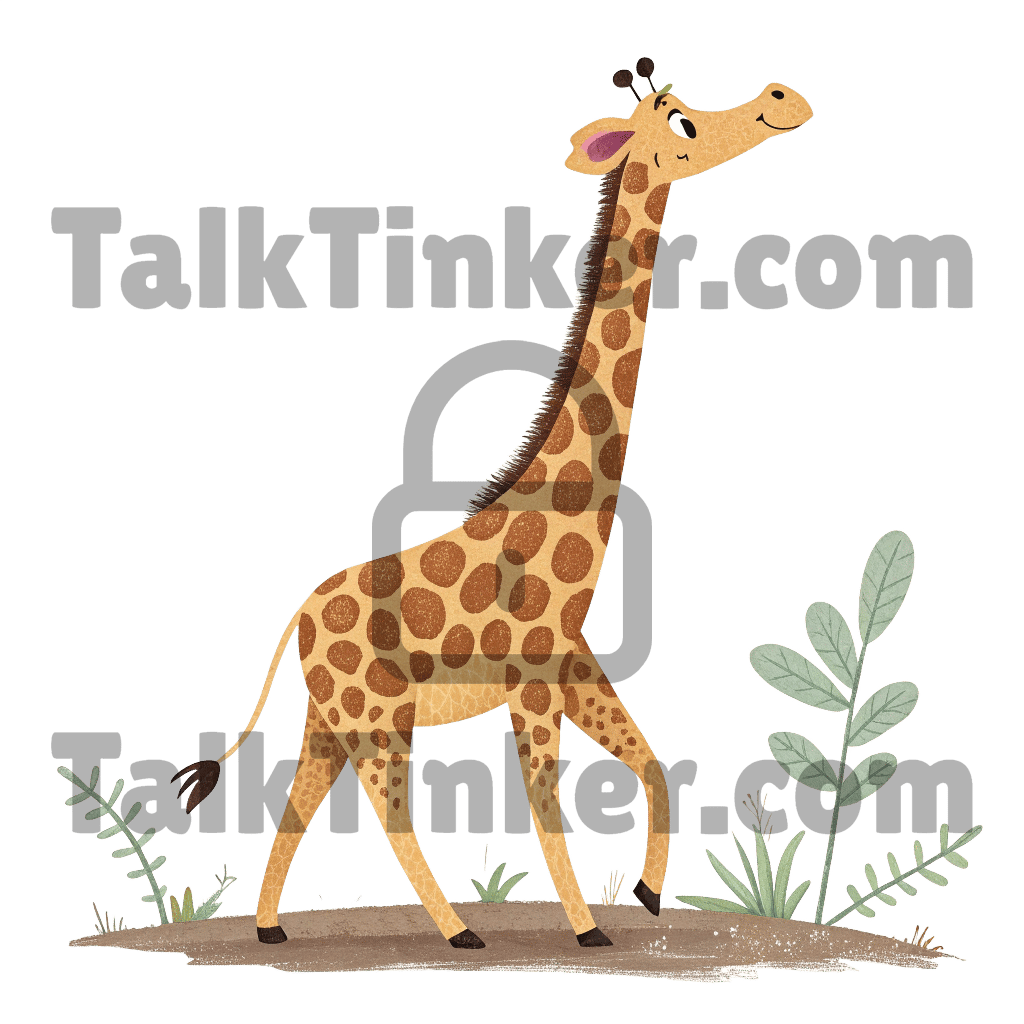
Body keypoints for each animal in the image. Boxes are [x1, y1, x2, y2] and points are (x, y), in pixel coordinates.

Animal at [175, 59, 813, 949]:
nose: (783, 100)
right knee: (387, 811)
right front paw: (589, 930)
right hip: (377, 716)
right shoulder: (534, 679)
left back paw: (272, 929)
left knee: (298, 801)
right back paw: (456, 932)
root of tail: (296, 618)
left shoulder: (576, 664)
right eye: (679, 120)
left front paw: (649, 893)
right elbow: (548, 806)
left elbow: (652, 765)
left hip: (331, 717)